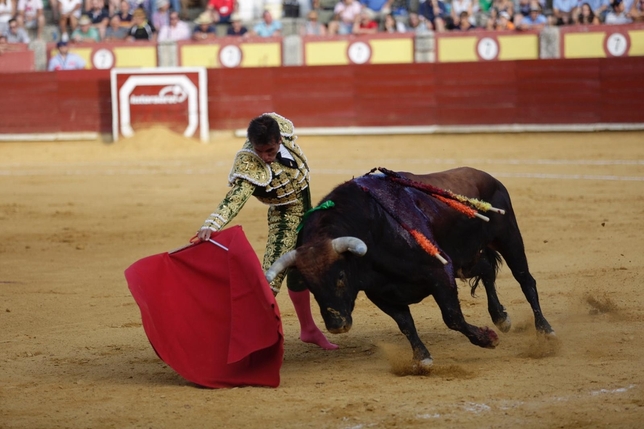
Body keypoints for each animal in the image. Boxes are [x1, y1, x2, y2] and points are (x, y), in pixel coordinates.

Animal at [266, 167, 552, 368]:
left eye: (341, 276)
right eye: (311, 286)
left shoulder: (440, 272)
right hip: (466, 258)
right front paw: (422, 358)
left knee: (525, 280)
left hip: (508, 237)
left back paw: (545, 330)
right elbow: (405, 323)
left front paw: (487, 339)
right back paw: (501, 317)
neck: (374, 230)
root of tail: (488, 176)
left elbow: (453, 317)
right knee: (486, 271)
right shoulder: (381, 292)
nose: (337, 325)